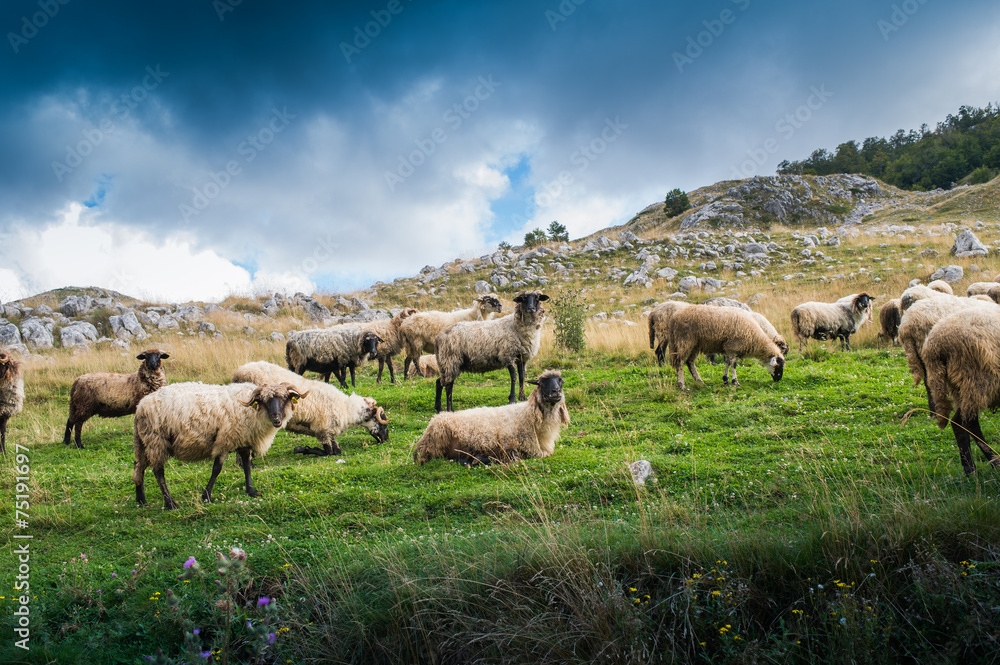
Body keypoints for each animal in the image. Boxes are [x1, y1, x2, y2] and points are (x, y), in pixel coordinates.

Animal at [133, 381, 306, 509]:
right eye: (265, 400)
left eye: (285, 397)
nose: (276, 419)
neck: (252, 409)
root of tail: (140, 407)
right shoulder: (225, 440)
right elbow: (216, 469)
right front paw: (206, 496)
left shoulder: (244, 441)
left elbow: (247, 466)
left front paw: (251, 491)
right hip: (156, 440)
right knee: (158, 471)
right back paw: (170, 503)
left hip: (143, 442)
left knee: (138, 466)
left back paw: (141, 500)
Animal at [232, 361, 389, 456]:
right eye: (381, 420)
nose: (386, 439)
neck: (346, 409)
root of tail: (238, 372)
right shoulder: (322, 430)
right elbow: (329, 452)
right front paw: (303, 449)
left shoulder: (329, 432)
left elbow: (337, 451)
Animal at [413, 369, 569, 466]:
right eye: (541, 382)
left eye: (560, 381)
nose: (556, 392)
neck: (528, 416)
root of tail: (434, 419)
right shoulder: (509, 443)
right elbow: (514, 457)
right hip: (437, 444)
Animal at [921, 307, 1000, 474]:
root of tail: (935, 345)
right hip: (975, 381)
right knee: (962, 422)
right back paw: (972, 468)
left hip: (960, 387)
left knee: (967, 423)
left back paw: (989, 462)